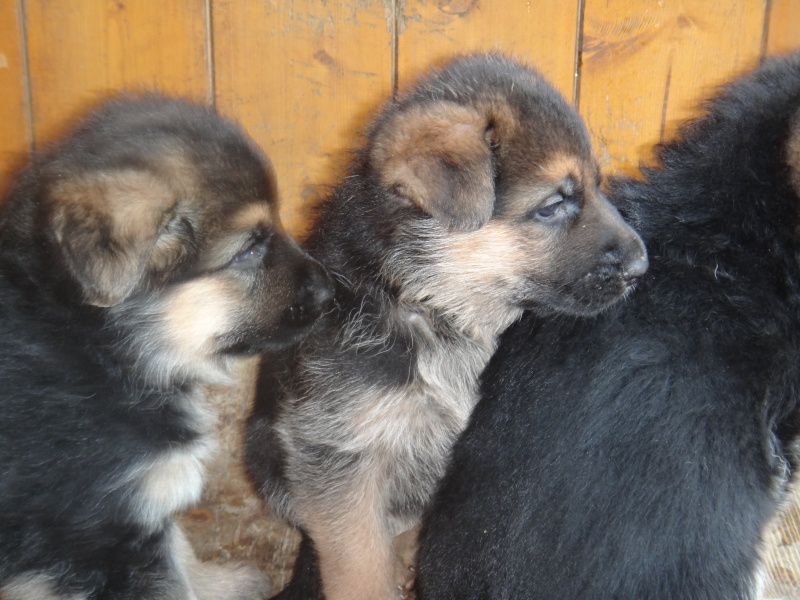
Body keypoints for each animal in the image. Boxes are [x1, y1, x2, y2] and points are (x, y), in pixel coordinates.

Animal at [245, 52, 648, 600]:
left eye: (597, 185)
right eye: (554, 204)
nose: (642, 265)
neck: (433, 306)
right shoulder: (341, 453)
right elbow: (358, 565)